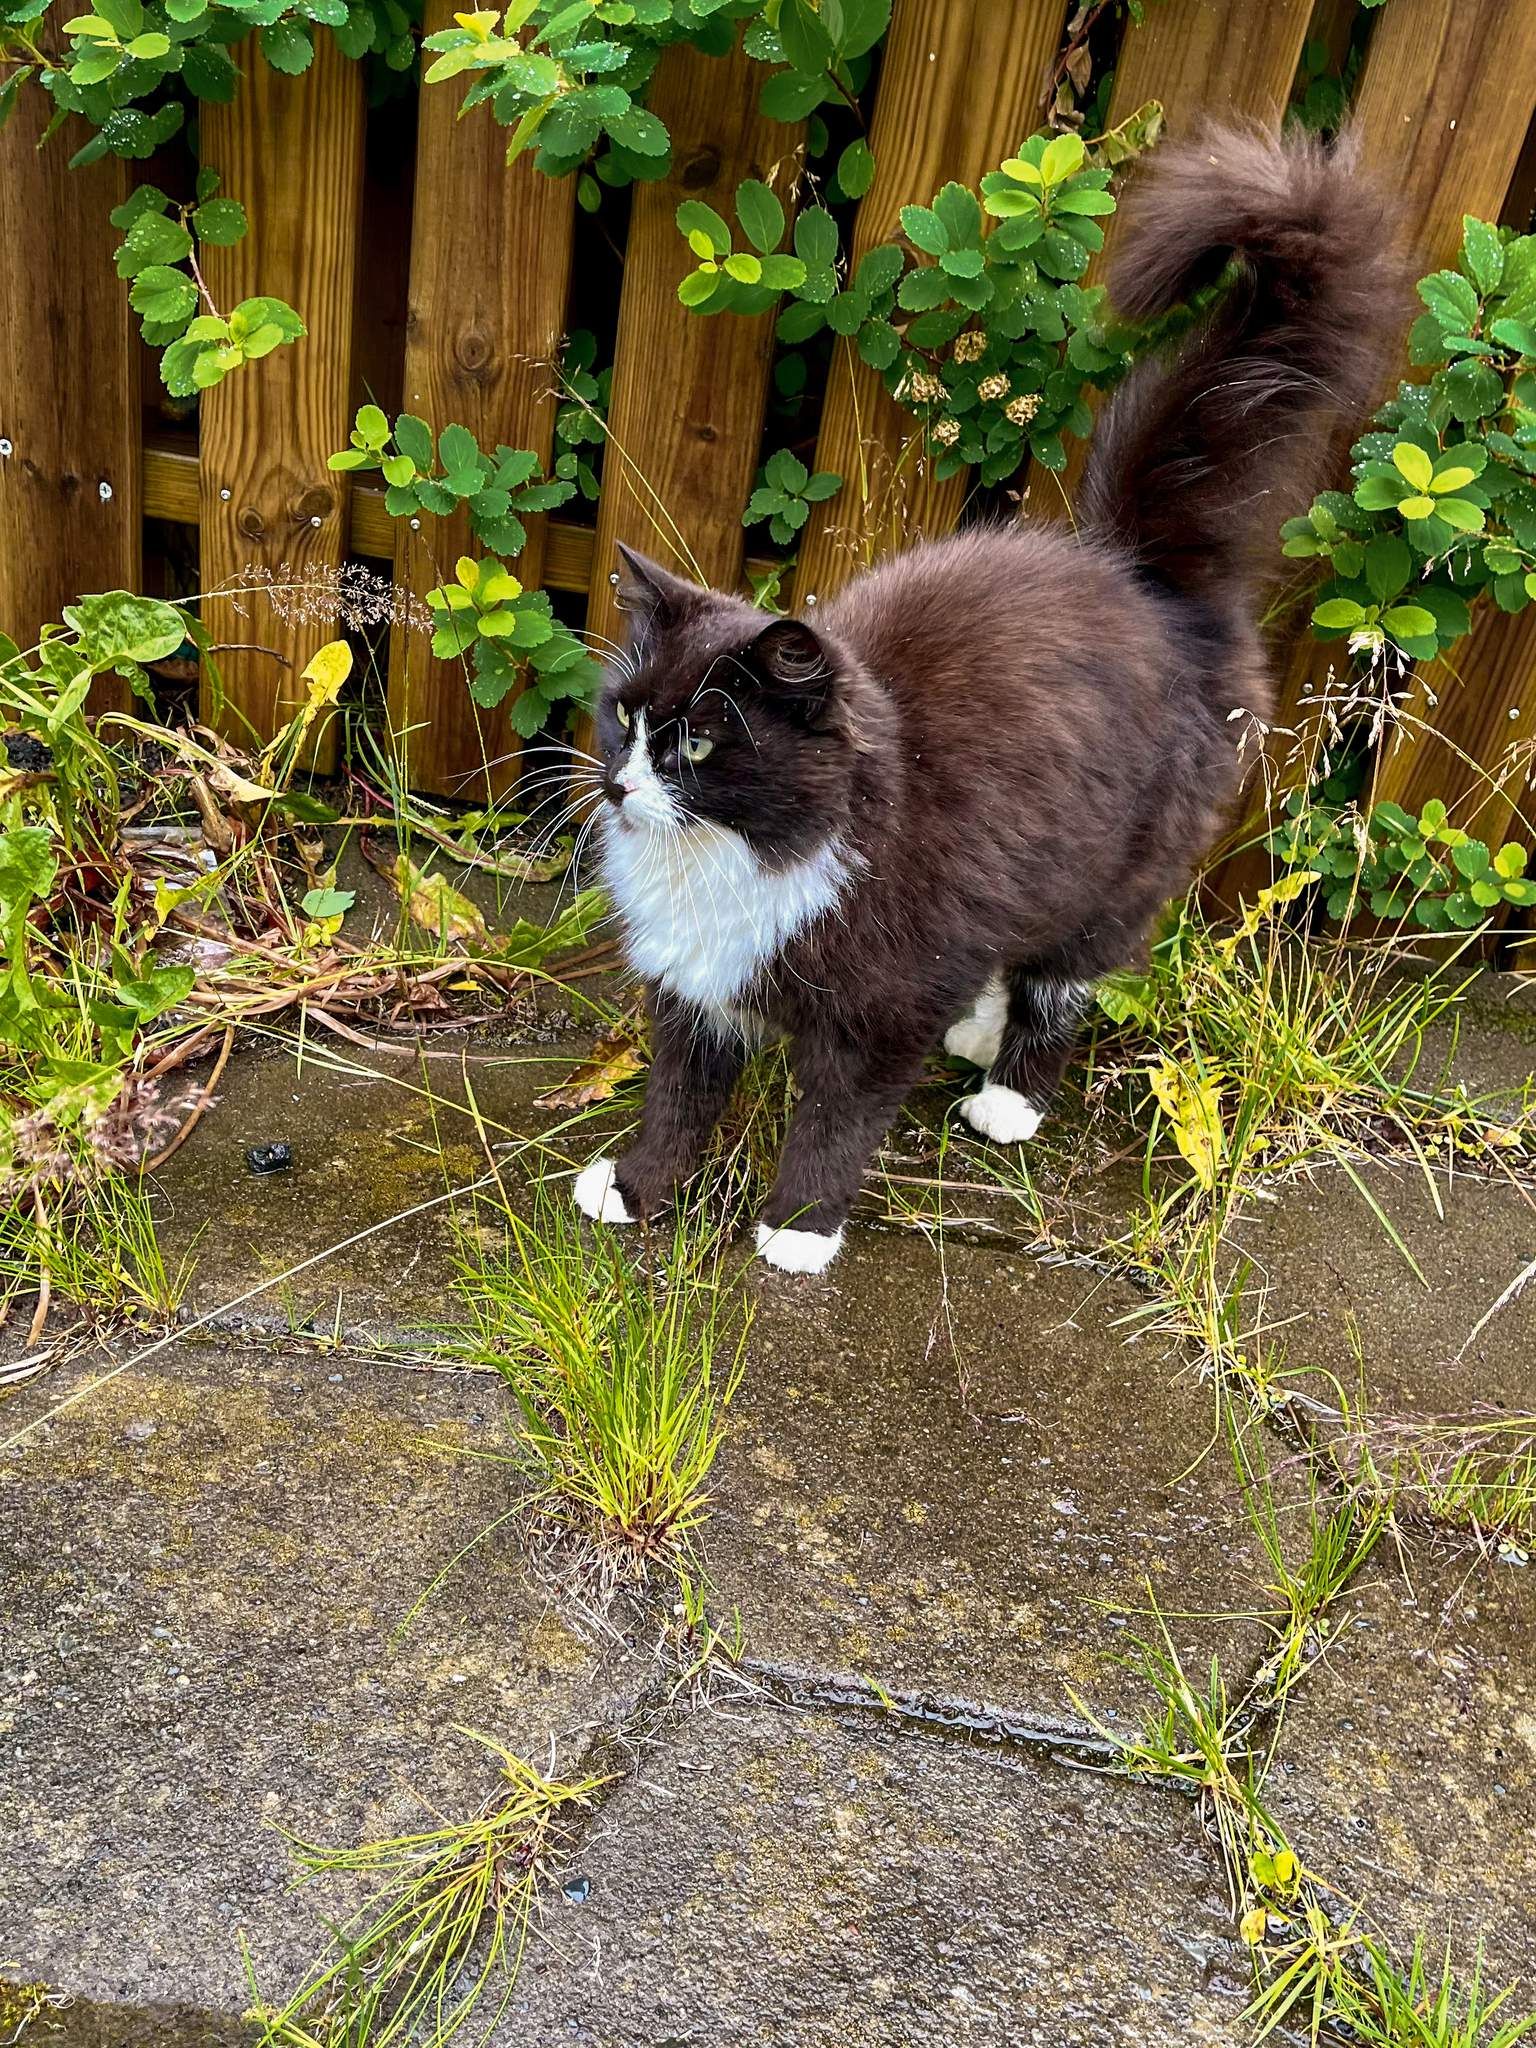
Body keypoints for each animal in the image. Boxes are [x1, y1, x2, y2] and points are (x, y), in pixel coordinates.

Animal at [573, 123, 1400, 1261]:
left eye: (698, 743)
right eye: (626, 715)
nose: (619, 786)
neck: (740, 858)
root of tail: (1138, 573)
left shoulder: (881, 1001)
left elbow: (839, 1113)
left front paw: (799, 1230)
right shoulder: (697, 986)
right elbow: (677, 1095)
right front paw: (634, 1186)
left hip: (1123, 864)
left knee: (1063, 977)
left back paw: (1008, 1095)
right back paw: (976, 1030)